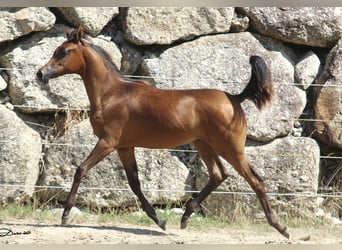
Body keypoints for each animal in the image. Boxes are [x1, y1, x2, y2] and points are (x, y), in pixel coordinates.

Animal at [36, 26, 288, 239]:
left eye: (64, 52)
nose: (40, 73)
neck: (112, 93)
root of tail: (234, 98)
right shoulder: (124, 146)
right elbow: (135, 184)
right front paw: (160, 221)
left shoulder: (108, 142)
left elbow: (81, 170)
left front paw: (65, 215)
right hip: (204, 145)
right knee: (219, 175)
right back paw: (185, 217)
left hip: (231, 148)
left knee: (255, 180)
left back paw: (281, 227)